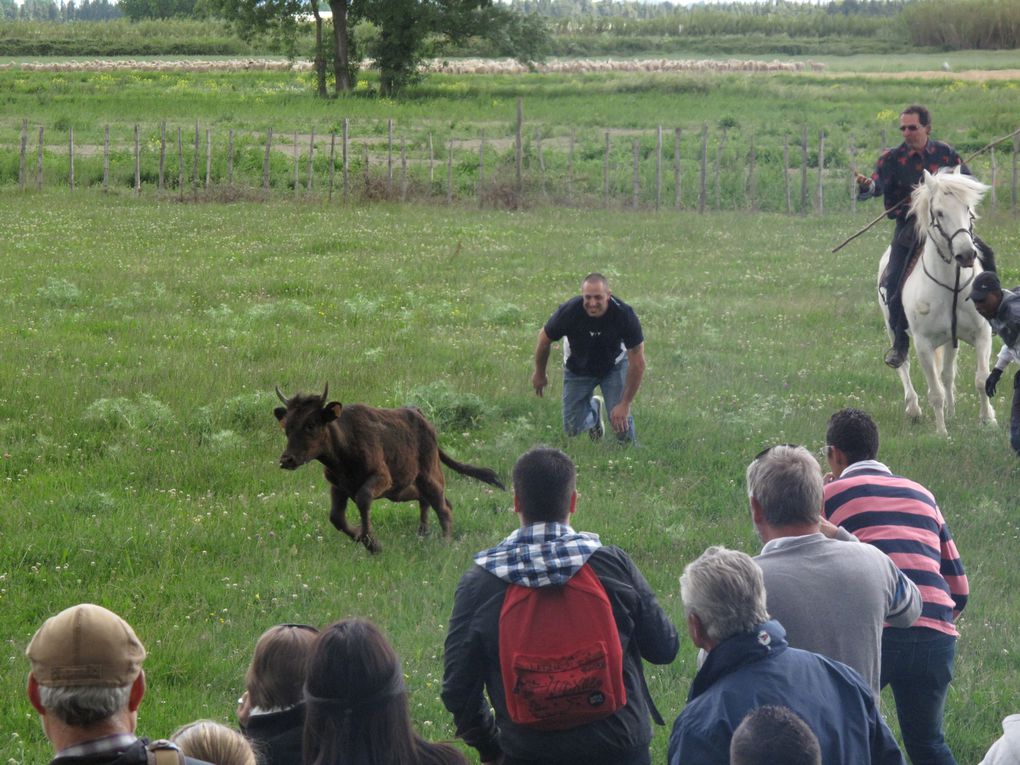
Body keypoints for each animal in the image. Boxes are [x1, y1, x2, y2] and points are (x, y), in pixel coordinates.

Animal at [275, 385, 505, 554]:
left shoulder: (382, 478)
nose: (287, 460)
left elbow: (362, 499)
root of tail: (421, 416)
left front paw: (372, 544)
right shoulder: (338, 486)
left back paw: (445, 543)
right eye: (287, 427)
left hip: (429, 476)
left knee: (444, 507)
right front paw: (359, 536)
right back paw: (422, 534)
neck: (345, 443)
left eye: (311, 424)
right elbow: (336, 517)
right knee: (428, 502)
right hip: (408, 487)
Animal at [877, 167, 995, 436]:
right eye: (939, 212)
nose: (966, 254)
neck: (952, 286)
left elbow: (981, 379)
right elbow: (935, 392)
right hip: (892, 330)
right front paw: (942, 433)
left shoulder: (982, 334)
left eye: (967, 208)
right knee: (904, 366)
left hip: (951, 341)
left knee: (948, 374)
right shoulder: (923, 344)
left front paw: (988, 420)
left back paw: (951, 412)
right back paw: (913, 409)